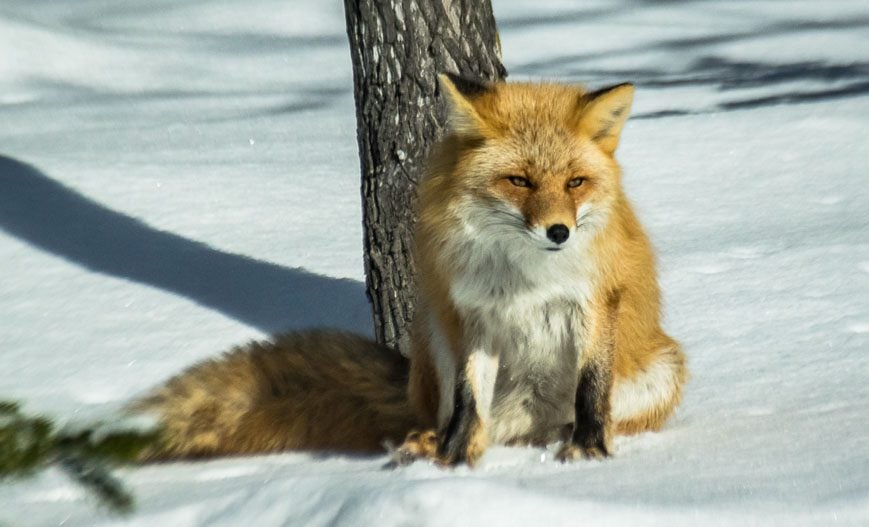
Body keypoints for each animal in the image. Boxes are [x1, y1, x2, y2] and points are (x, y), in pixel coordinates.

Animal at [134, 75, 684, 466]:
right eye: (519, 181)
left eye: (575, 183)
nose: (559, 232)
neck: (528, 276)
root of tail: (530, 421)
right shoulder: (473, 315)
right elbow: (467, 400)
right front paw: (453, 459)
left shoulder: (595, 301)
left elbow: (591, 388)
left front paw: (590, 450)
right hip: (434, 332)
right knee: (467, 420)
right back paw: (431, 444)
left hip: (666, 368)